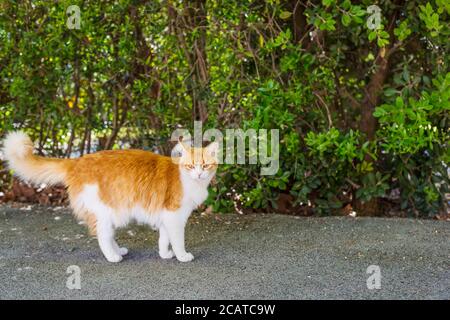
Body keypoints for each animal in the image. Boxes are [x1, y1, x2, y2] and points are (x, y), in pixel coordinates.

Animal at [1, 131, 220, 262]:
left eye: (205, 166)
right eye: (190, 166)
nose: (199, 174)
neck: (187, 178)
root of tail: (77, 161)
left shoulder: (166, 216)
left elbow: (164, 239)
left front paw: (165, 254)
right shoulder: (174, 216)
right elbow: (177, 240)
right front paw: (182, 256)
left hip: (110, 213)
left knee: (107, 235)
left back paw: (119, 251)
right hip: (105, 212)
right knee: (102, 237)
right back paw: (113, 257)